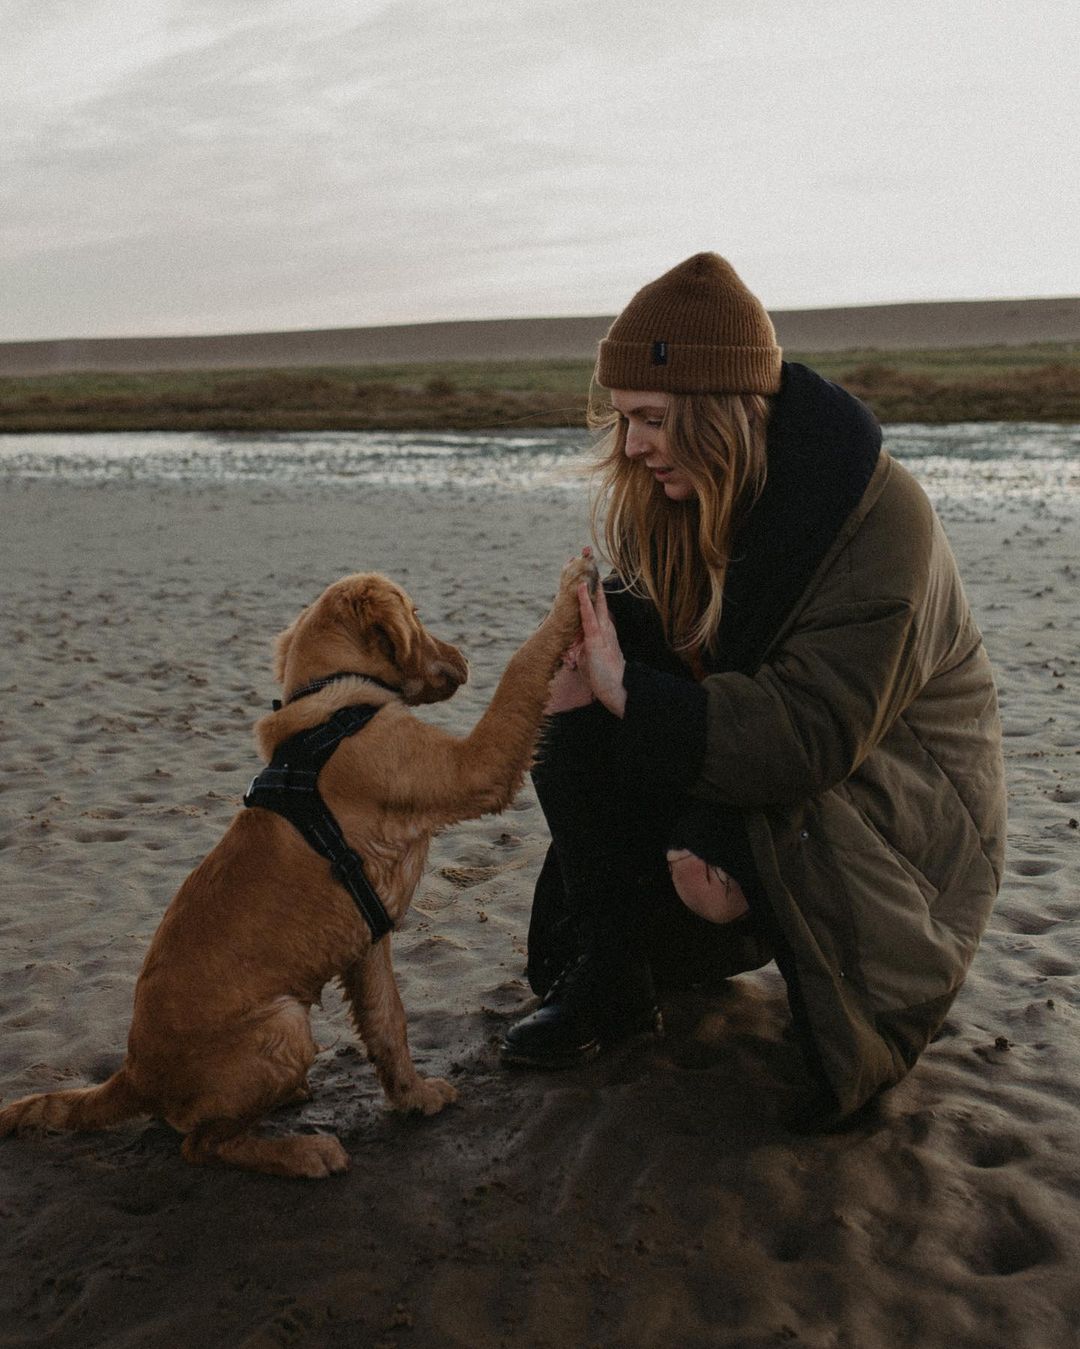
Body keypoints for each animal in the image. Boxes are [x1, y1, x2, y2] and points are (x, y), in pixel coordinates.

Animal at [0, 555, 597, 1178]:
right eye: (417, 613)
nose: (463, 655)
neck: (333, 706)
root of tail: (134, 1075)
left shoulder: (367, 946)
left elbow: (389, 1024)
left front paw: (414, 1097)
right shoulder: (474, 766)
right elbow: (524, 666)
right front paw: (571, 591)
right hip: (284, 1026)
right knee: (203, 1143)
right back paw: (302, 1151)